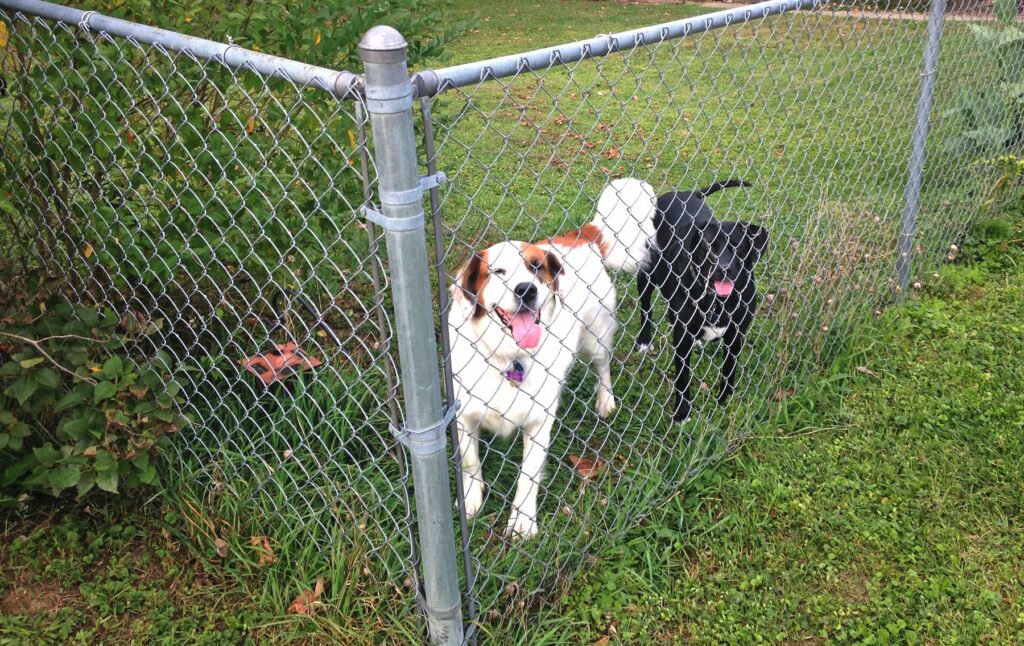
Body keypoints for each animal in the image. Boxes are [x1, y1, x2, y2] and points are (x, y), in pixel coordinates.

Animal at [448, 178, 655, 540]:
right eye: (497, 271)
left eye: (536, 267)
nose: (525, 289)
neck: (508, 356)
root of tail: (581, 236)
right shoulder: (464, 415)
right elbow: (471, 464)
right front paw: (471, 502)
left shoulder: (539, 421)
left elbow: (528, 476)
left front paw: (522, 522)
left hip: (596, 337)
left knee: (603, 367)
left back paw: (605, 401)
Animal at [630, 179, 770, 423]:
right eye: (707, 246)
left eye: (737, 245)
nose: (723, 269)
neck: (717, 301)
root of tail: (684, 193)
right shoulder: (682, 339)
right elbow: (682, 378)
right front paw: (682, 412)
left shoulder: (736, 335)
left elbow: (729, 371)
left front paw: (724, 401)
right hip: (647, 273)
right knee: (646, 308)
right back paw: (644, 340)